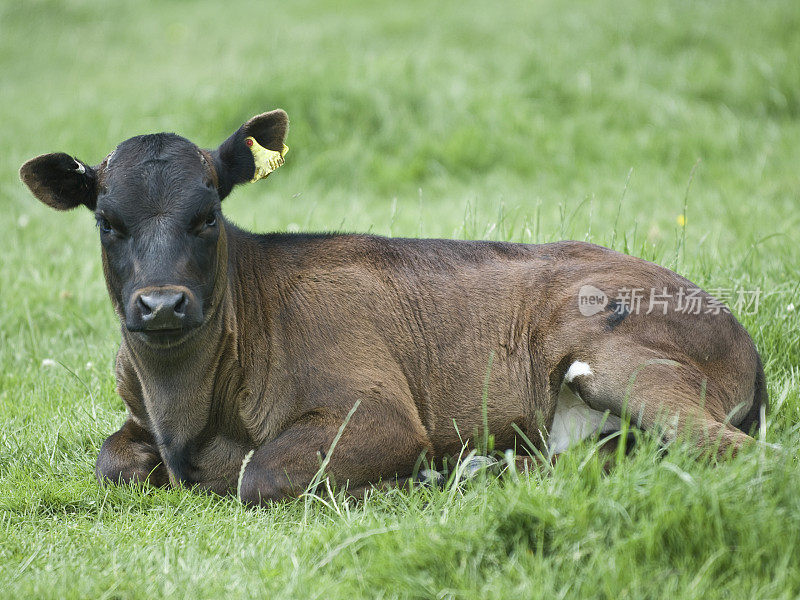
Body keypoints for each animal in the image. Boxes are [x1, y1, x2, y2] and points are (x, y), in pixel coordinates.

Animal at [20, 110, 768, 504]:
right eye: (107, 222)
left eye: (207, 217)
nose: (161, 304)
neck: (189, 415)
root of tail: (738, 330)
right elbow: (112, 461)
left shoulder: (378, 414)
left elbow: (260, 474)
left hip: (625, 363)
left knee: (725, 450)